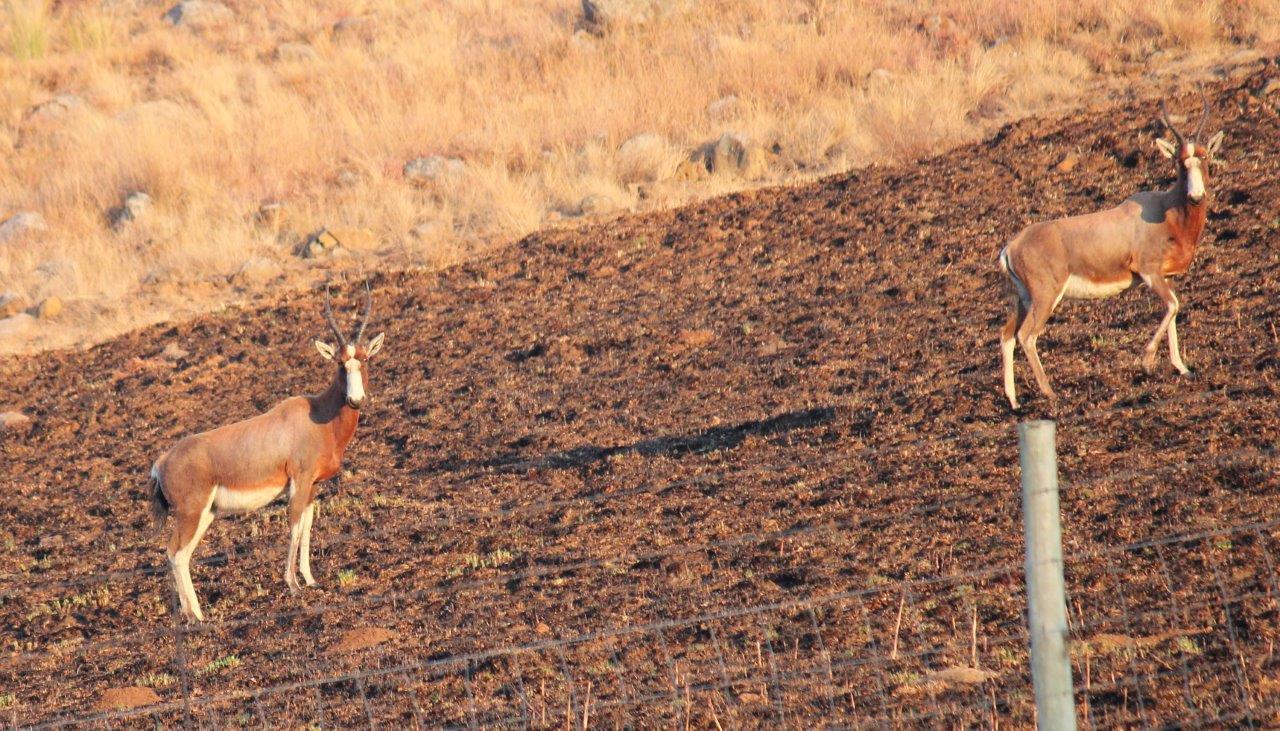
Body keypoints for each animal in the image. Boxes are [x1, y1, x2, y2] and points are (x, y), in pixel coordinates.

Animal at [147, 282, 381, 619]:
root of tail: (161, 463)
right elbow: (294, 526)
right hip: (191, 513)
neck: (317, 414)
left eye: (363, 359)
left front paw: (310, 580)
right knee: (175, 553)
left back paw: (190, 615)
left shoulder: (312, 487)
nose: (355, 400)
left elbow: (307, 525)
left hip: (205, 514)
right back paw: (198, 618)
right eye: (339, 362)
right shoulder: (299, 483)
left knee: (181, 554)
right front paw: (293, 585)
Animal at [993, 99, 1223, 409]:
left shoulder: (1167, 277)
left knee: (1007, 335)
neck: (1166, 210)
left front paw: (1182, 368)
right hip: (1045, 296)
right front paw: (1147, 363)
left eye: (1204, 158)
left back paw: (1014, 401)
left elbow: (1174, 309)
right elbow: (1173, 306)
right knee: (1026, 335)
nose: (1196, 197)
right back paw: (1050, 392)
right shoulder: (1149, 273)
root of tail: (1012, 246)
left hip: (1023, 299)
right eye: (1179, 162)